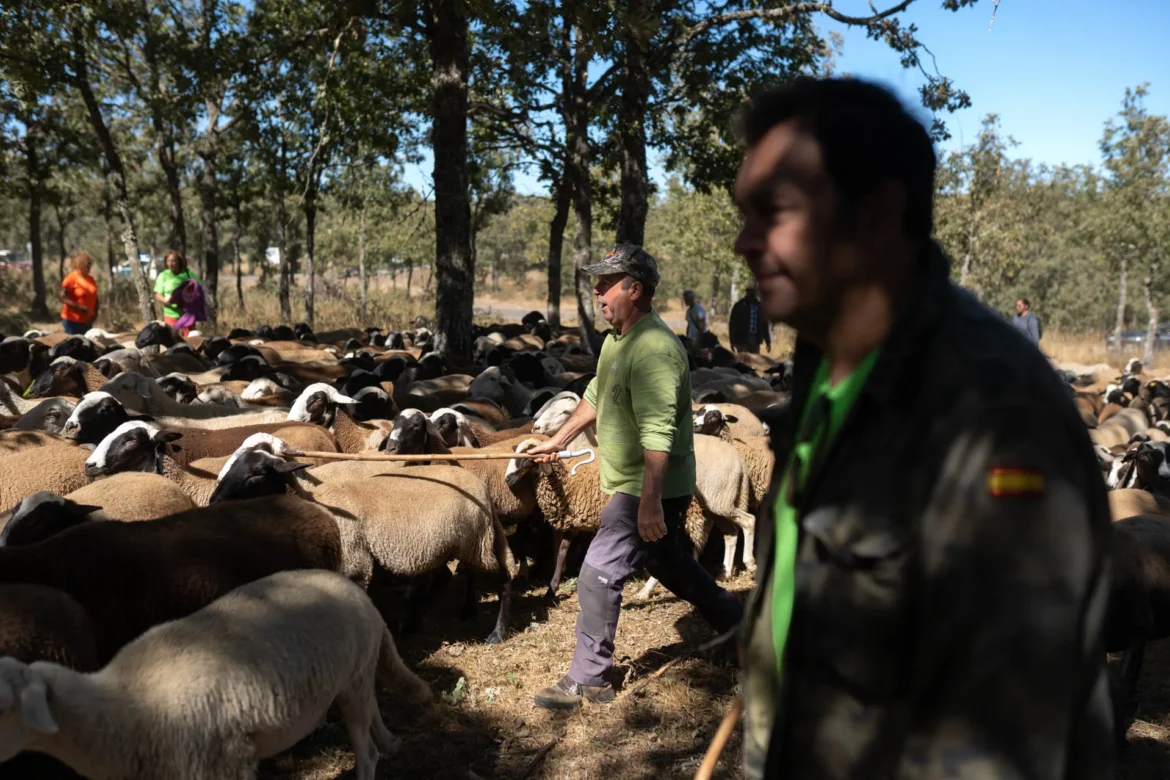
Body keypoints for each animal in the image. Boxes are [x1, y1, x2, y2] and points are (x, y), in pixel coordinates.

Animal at [0, 568, 432, 780]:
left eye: (3, 707)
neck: (127, 703)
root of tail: (357, 591)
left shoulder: (223, 764)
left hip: (352, 679)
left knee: (367, 753)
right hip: (354, 676)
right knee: (374, 705)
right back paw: (391, 742)